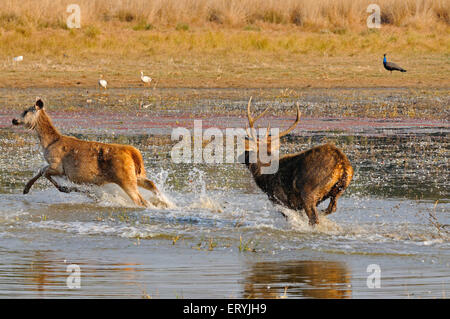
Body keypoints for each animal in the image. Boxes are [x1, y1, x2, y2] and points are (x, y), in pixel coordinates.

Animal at [12, 99, 168, 208]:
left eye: (26, 111)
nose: (14, 120)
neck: (48, 143)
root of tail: (133, 153)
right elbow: (41, 170)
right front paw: (26, 189)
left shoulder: (57, 165)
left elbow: (44, 172)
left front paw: (67, 188)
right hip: (136, 175)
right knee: (151, 184)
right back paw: (166, 203)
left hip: (125, 178)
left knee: (140, 200)